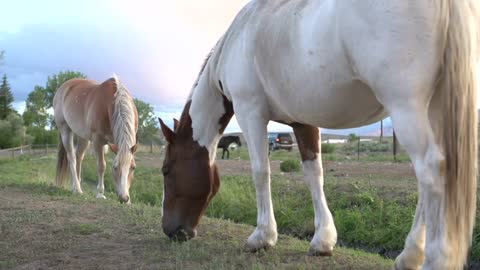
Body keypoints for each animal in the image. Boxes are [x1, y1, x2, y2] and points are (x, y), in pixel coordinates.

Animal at [159, 1, 478, 268]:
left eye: (166, 170)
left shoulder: (250, 112)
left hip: (405, 106)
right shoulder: (303, 121)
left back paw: (431, 257)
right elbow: (314, 174)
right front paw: (323, 240)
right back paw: (410, 254)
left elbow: (261, 172)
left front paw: (262, 236)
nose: (170, 230)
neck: (239, 39)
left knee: (431, 169)